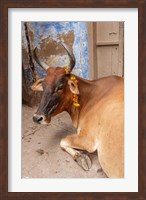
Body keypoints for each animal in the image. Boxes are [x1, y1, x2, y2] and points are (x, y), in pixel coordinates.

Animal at [31, 43, 124, 177]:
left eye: (60, 87)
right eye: (43, 86)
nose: (37, 117)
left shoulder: (88, 140)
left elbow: (62, 141)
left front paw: (81, 158)